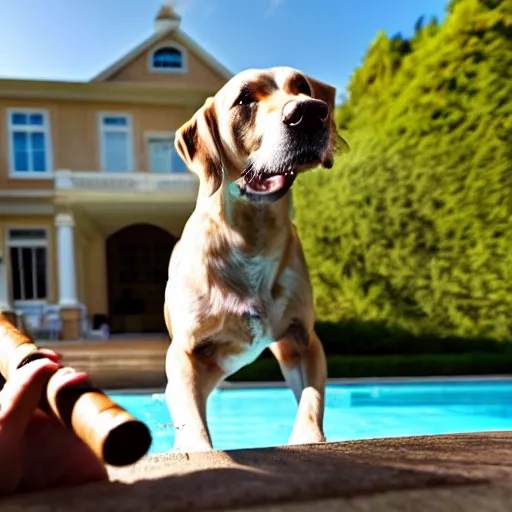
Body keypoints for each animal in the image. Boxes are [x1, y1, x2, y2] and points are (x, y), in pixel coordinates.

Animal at [164, 65, 340, 452]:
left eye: (302, 87)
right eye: (244, 99)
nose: (310, 112)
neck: (250, 239)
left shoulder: (302, 340)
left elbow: (311, 398)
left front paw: (308, 437)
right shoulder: (184, 354)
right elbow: (193, 424)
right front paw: (198, 448)